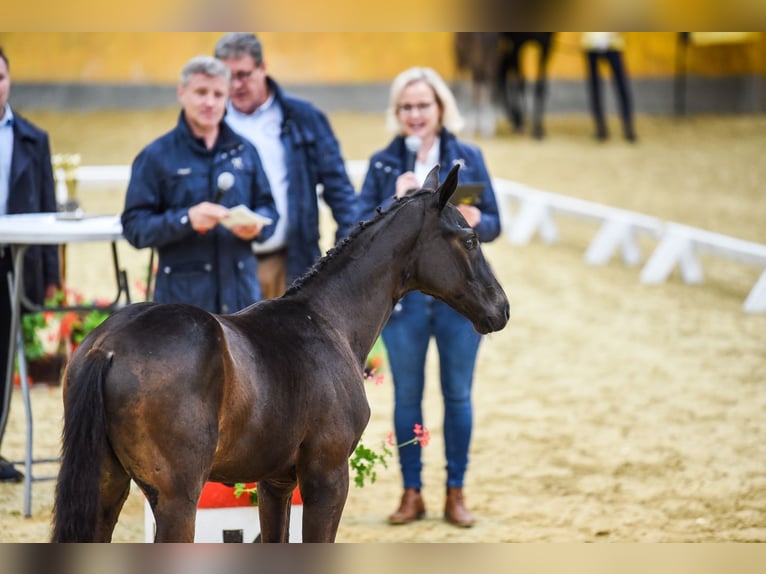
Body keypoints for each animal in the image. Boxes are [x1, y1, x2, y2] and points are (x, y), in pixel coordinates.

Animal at [52, 164, 510, 544]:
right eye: (469, 239)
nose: (501, 308)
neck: (328, 320)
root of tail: (108, 347)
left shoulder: (275, 484)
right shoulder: (327, 477)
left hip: (106, 489)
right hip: (178, 500)